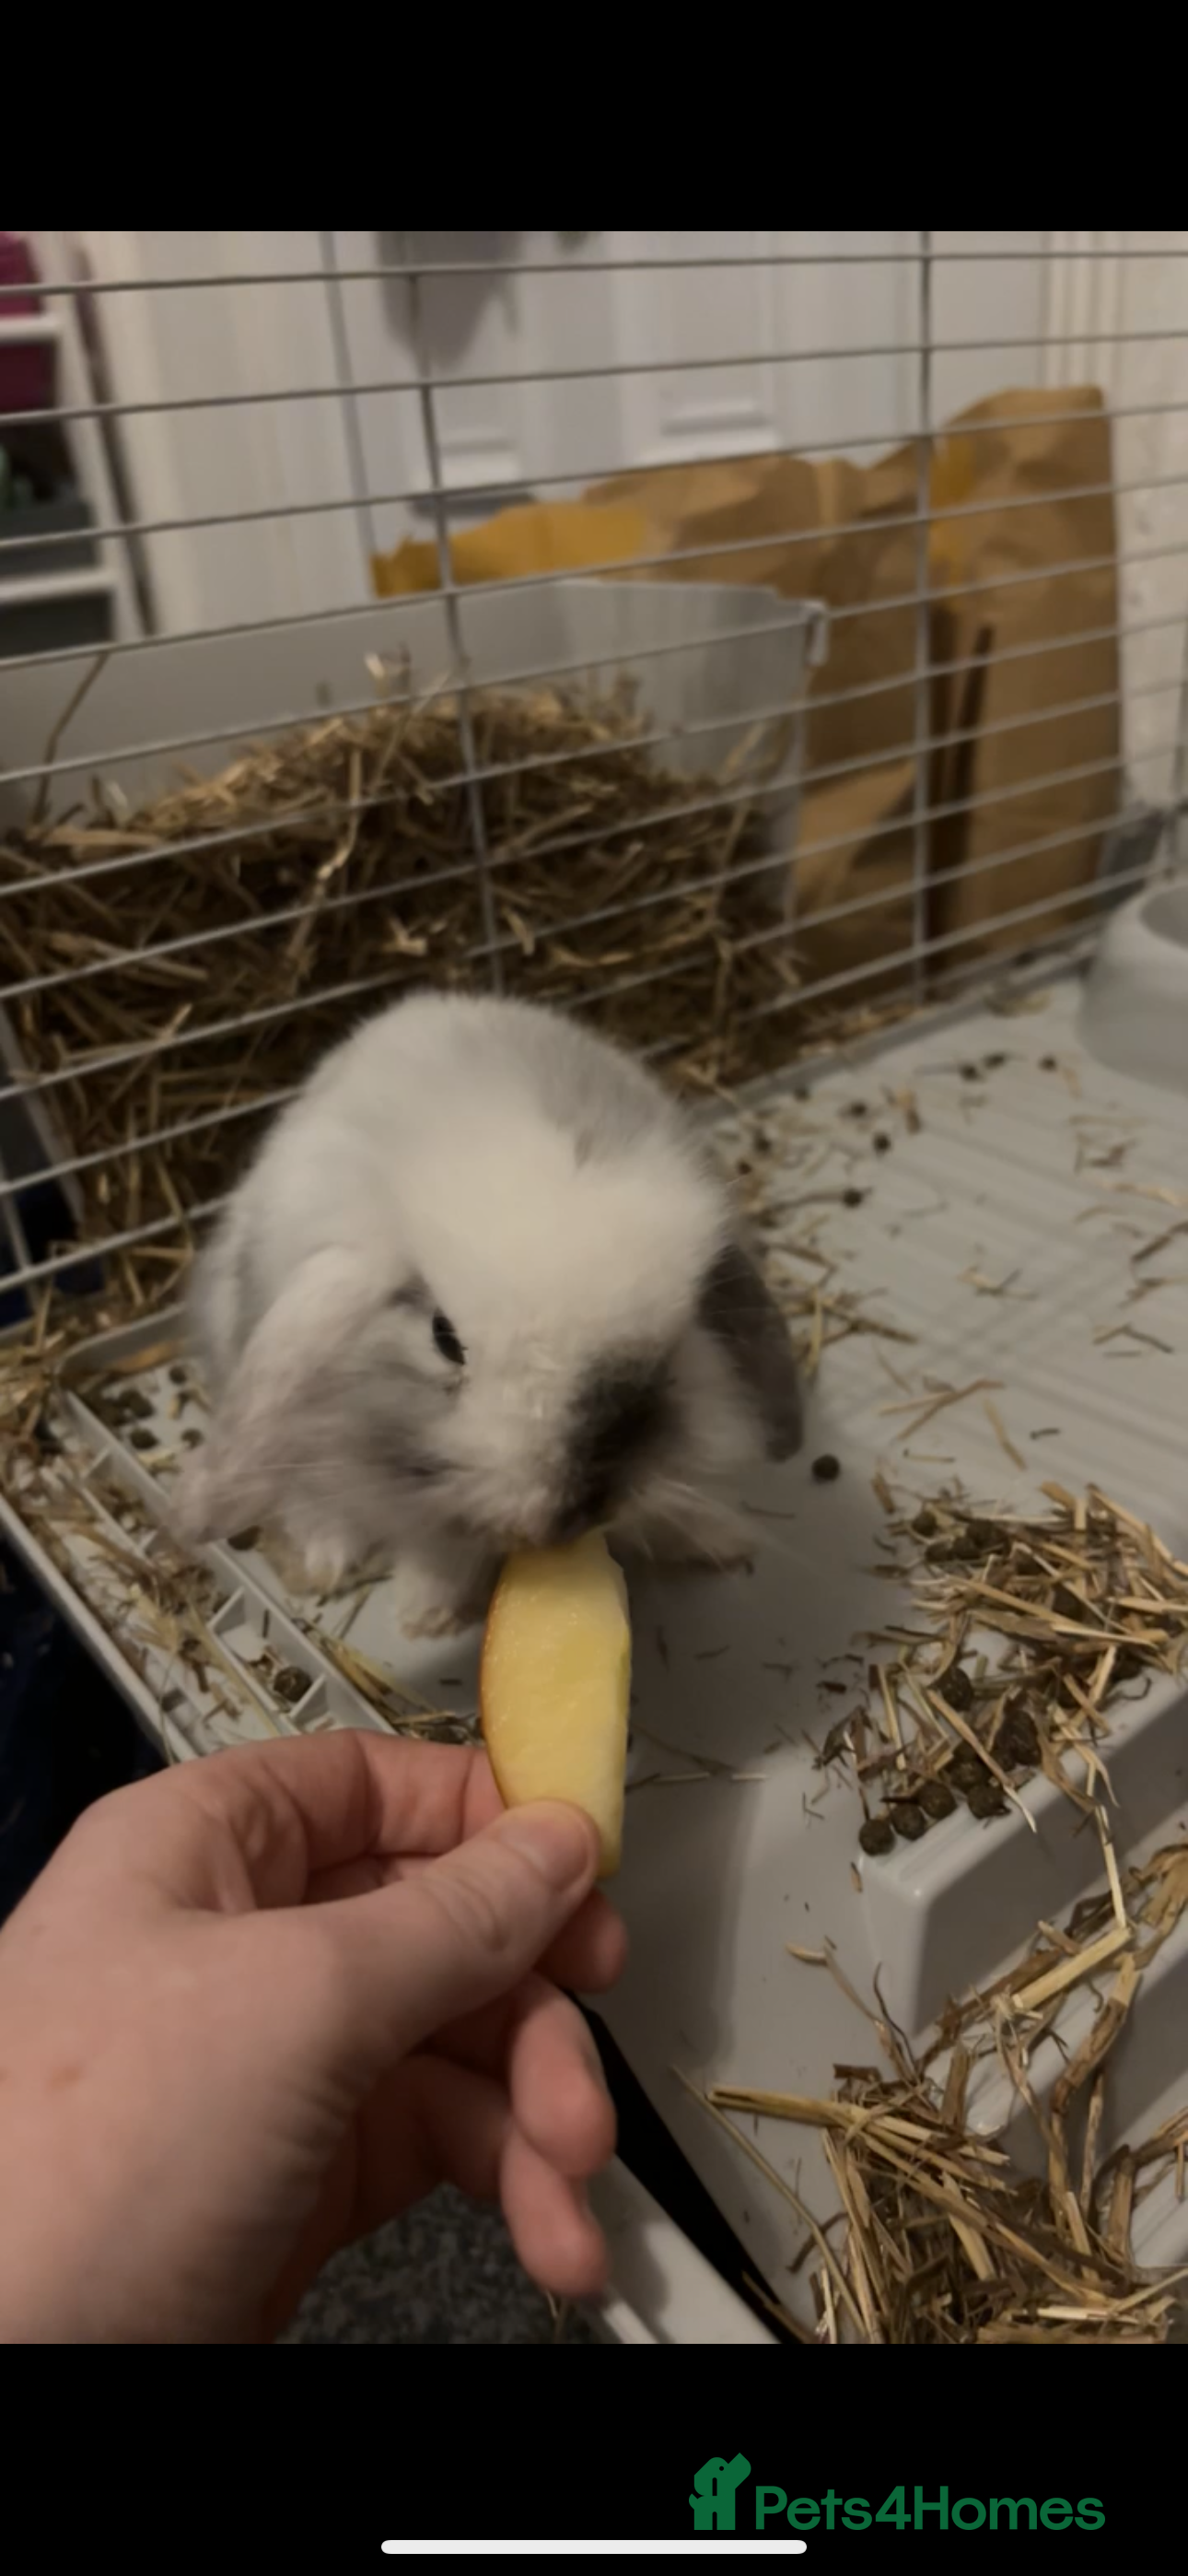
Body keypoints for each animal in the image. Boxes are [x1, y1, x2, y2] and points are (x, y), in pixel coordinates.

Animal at [173, 990, 803, 1636]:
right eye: (444, 1338)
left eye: (667, 1354)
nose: (571, 1516)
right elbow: (435, 1544)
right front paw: (426, 1613)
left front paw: (720, 1539)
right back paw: (328, 1556)